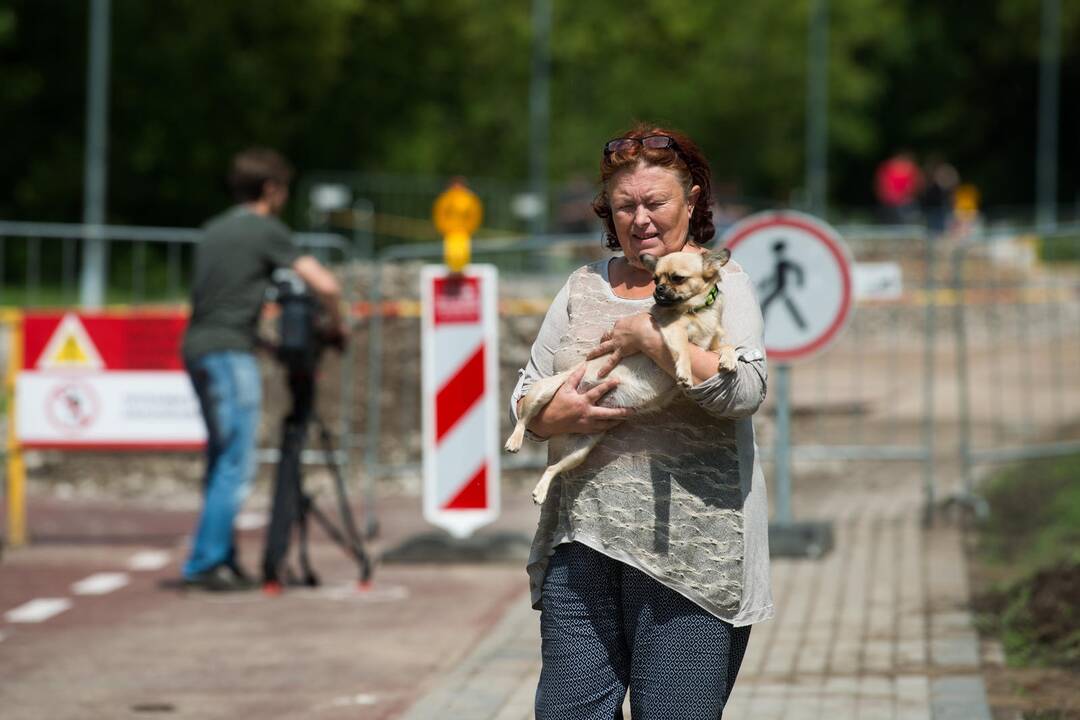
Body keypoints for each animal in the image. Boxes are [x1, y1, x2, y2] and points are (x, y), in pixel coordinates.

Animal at [503, 250, 738, 505]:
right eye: (655, 279)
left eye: (677, 278)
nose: (659, 289)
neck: (697, 311)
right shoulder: (671, 331)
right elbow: (684, 348)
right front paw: (684, 372)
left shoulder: (709, 346)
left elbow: (728, 346)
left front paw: (730, 360)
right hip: (542, 392)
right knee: (523, 419)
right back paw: (514, 442)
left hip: (581, 450)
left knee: (552, 468)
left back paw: (540, 490)